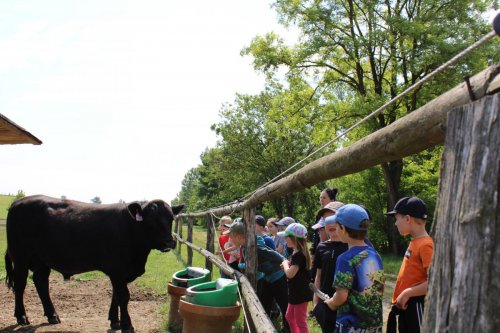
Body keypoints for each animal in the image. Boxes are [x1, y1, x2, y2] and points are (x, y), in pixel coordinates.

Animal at [3, 195, 184, 332]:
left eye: (171, 219)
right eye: (151, 220)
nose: (169, 242)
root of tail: (18, 202)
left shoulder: (119, 273)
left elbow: (116, 296)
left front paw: (115, 321)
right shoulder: (117, 270)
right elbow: (123, 296)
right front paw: (127, 325)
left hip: (42, 261)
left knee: (41, 283)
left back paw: (52, 315)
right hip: (20, 259)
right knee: (20, 285)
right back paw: (22, 317)